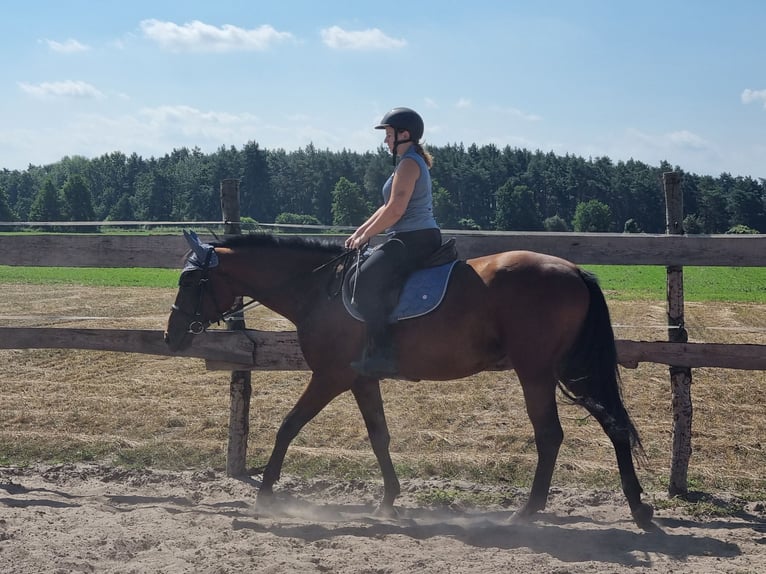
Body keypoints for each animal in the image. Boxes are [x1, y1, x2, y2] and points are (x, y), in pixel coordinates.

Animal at [165, 231, 656, 532]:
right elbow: (379, 435)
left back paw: (527, 512)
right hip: (566, 370)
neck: (320, 290)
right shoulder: (360, 379)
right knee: (613, 424)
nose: (171, 337)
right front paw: (388, 501)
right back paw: (638, 507)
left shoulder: (330, 376)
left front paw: (266, 495)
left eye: (190, 280)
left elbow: (289, 426)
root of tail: (574, 270)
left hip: (536, 372)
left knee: (551, 435)